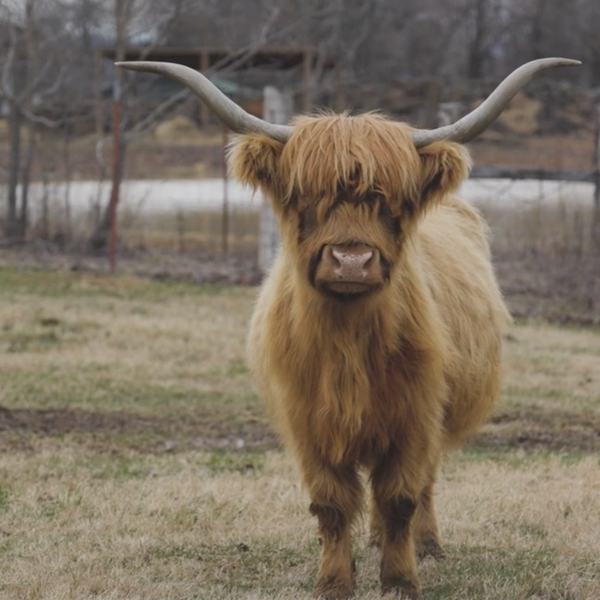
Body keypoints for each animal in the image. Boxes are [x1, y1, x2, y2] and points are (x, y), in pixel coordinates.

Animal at [118, 57, 580, 600]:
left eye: (392, 202)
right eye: (306, 197)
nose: (352, 261)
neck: (348, 344)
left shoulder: (415, 416)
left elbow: (400, 496)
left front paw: (400, 580)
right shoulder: (307, 423)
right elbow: (331, 503)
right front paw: (335, 581)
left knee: (422, 486)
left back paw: (425, 546)